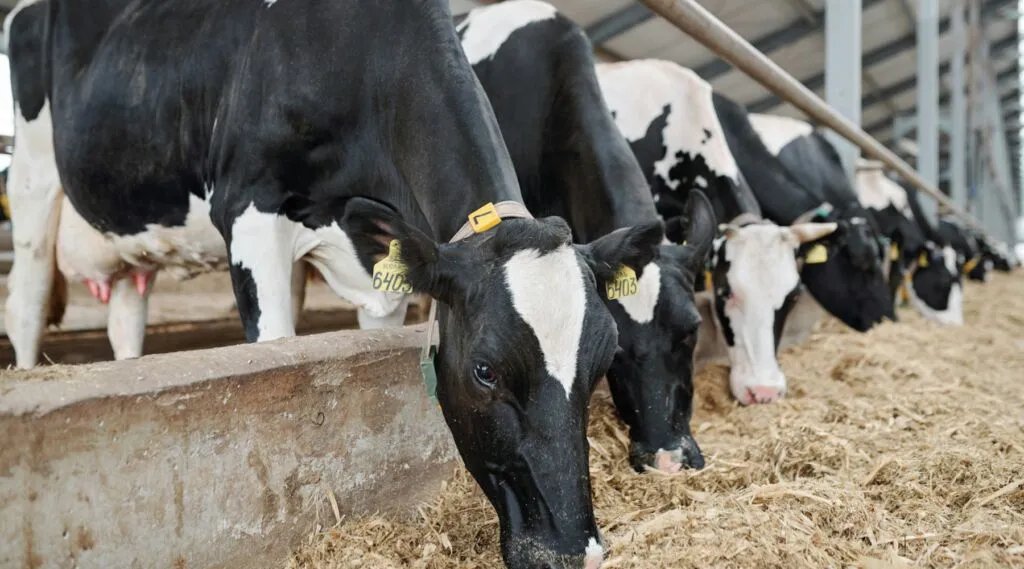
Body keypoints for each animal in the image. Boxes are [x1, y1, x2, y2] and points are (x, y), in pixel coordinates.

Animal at [5, 1, 668, 566]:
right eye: (485, 370)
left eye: (604, 357)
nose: (576, 553)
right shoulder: (248, 207)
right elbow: (275, 349)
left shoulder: (379, 265)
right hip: (33, 176)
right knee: (28, 299)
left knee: (125, 316)